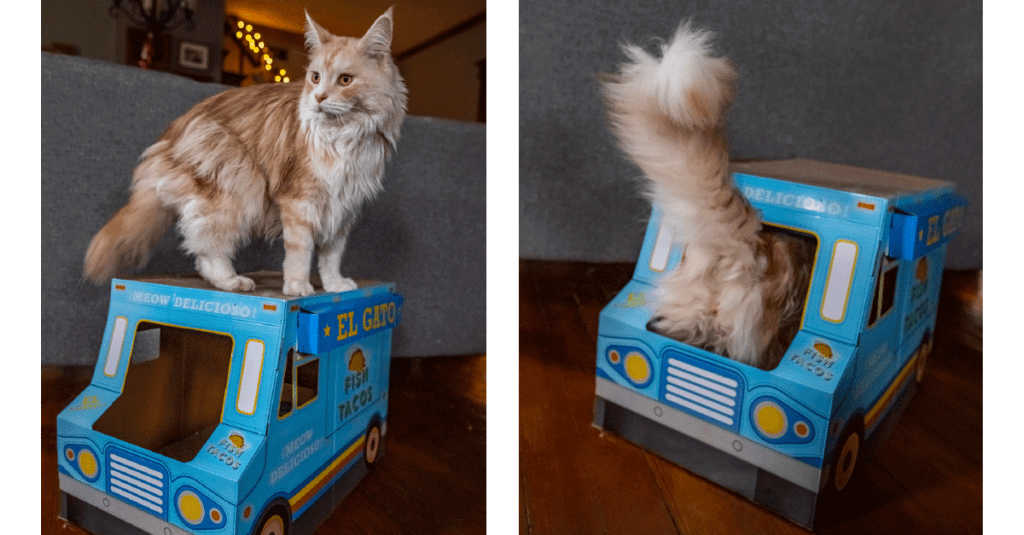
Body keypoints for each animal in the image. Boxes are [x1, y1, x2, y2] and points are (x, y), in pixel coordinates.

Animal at [82, 7, 403, 295]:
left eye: (345, 80)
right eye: (315, 77)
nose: (318, 97)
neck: (346, 137)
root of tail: (170, 137)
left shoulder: (343, 206)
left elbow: (331, 255)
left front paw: (335, 285)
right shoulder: (300, 199)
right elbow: (300, 252)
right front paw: (298, 287)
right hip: (240, 182)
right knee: (206, 249)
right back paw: (231, 281)